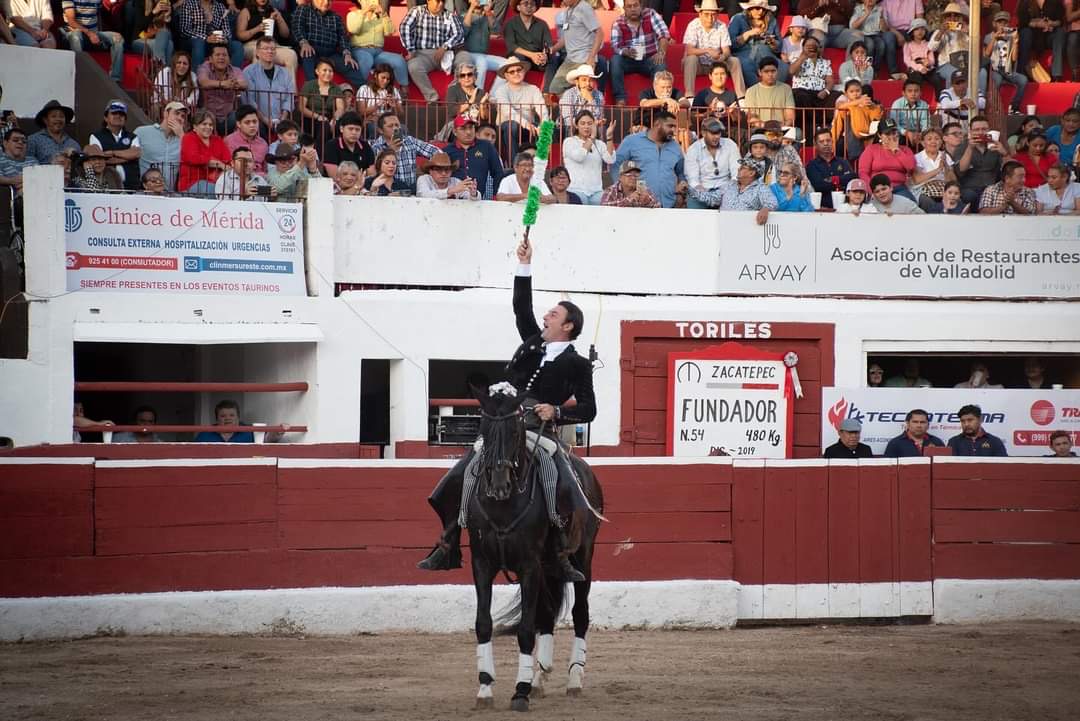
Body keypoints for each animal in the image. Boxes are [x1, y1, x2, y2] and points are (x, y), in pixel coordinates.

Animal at [470, 386, 604, 712]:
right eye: (484, 427)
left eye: (514, 430)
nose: (500, 486)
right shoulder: (481, 564)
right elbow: (484, 624)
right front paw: (485, 688)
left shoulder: (529, 566)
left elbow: (526, 630)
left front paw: (519, 692)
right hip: (547, 569)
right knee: (546, 615)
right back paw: (539, 678)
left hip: (582, 558)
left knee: (580, 613)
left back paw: (573, 679)